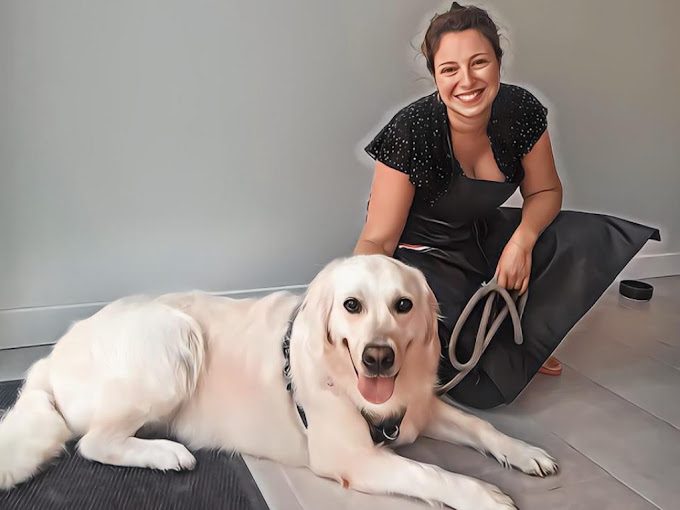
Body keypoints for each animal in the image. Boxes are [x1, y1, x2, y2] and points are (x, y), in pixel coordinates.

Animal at [0, 256, 556, 508]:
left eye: (403, 305)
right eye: (352, 305)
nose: (378, 357)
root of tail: (50, 359)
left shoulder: (417, 409)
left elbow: (481, 428)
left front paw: (527, 452)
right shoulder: (352, 458)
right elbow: (432, 474)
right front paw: (484, 495)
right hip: (173, 334)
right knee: (95, 443)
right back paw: (165, 454)